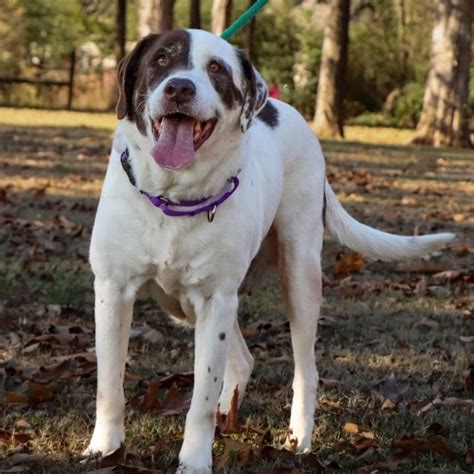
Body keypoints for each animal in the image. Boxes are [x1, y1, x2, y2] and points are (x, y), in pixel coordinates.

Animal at [86, 29, 456, 474]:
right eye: (160, 60)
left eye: (216, 69)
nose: (179, 88)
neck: (173, 199)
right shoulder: (113, 291)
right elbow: (109, 384)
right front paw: (104, 448)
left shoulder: (215, 299)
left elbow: (201, 398)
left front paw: (194, 460)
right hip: (188, 306)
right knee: (242, 359)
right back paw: (229, 416)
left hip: (299, 274)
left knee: (305, 369)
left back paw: (298, 437)